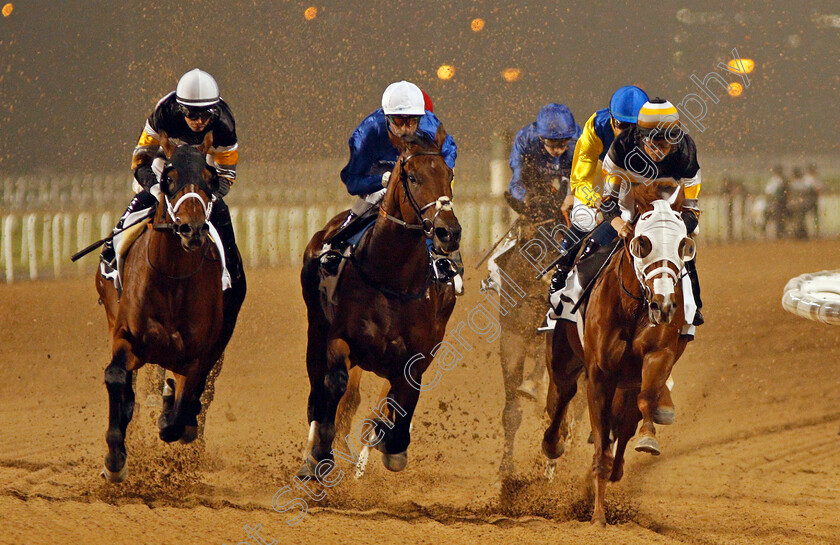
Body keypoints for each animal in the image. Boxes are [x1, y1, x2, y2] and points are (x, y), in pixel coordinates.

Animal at [94, 134, 243, 482]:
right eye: (169, 179)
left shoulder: (199, 355)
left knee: (198, 398)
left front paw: (169, 415)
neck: (173, 278)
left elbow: (183, 406)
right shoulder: (127, 336)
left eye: (209, 179)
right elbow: (117, 377)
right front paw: (115, 460)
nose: (193, 229)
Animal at [298, 126, 462, 476]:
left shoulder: (419, 354)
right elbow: (335, 382)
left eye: (449, 174)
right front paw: (320, 452)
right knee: (319, 388)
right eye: (412, 177)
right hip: (315, 328)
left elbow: (405, 396)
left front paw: (392, 445)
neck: (392, 279)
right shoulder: (340, 339)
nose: (449, 232)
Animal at [544, 183, 696, 524]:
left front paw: (648, 439)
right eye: (643, 243)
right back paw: (552, 444)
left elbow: (645, 401)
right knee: (563, 391)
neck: (633, 306)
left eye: (682, 244)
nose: (664, 305)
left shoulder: (656, 356)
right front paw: (598, 517)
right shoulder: (600, 374)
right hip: (563, 354)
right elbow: (600, 440)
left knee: (624, 419)